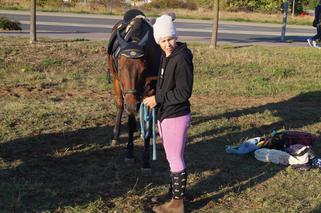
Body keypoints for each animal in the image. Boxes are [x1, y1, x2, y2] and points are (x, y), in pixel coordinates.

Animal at [107, 9, 161, 175]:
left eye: (143, 69)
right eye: (121, 66)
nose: (132, 105)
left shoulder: (151, 92)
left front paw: (146, 162)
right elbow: (130, 122)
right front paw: (130, 153)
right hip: (116, 82)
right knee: (119, 105)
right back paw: (116, 134)